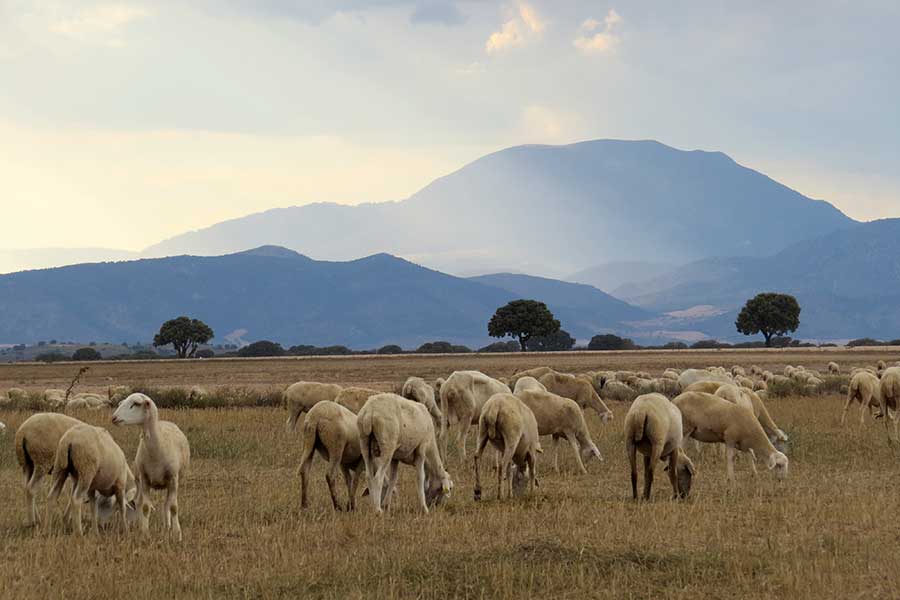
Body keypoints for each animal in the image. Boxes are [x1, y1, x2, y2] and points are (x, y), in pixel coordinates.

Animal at [111, 392, 191, 540]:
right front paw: (144, 532)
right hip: (139, 481)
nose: (114, 418)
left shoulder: (173, 479)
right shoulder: (145, 479)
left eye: (135, 404)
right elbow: (145, 507)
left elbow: (173, 507)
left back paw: (167, 526)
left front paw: (177, 533)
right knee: (139, 502)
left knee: (167, 504)